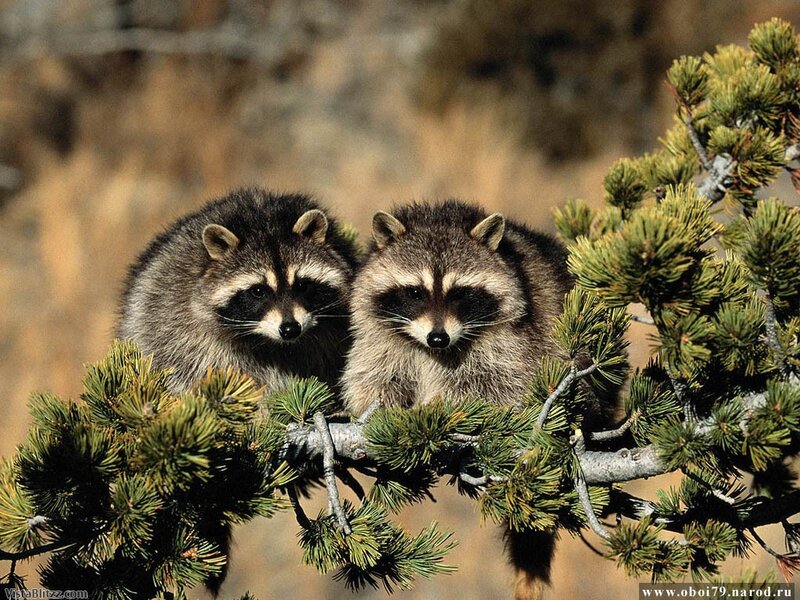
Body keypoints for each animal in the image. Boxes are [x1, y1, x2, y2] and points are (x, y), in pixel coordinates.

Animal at [341, 200, 579, 600]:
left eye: (461, 294)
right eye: (415, 292)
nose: (438, 338)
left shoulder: (512, 341)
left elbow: (493, 388)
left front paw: (436, 412)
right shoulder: (381, 337)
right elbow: (374, 377)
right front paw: (385, 414)